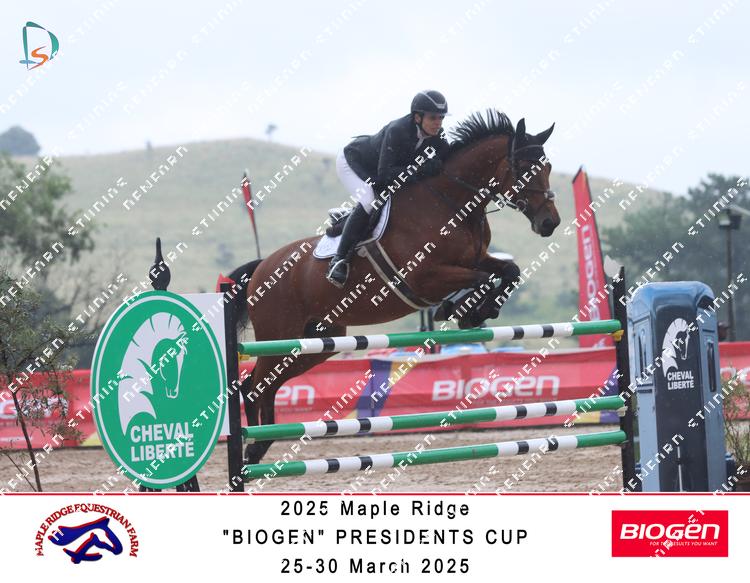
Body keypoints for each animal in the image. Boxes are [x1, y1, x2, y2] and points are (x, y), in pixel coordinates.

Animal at [225, 110, 560, 466]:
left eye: (548, 166)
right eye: (523, 166)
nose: (550, 222)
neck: (452, 202)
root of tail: (262, 267)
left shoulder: (477, 259)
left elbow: (509, 271)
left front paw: (479, 309)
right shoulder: (424, 277)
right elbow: (480, 280)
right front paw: (463, 309)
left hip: (317, 343)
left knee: (268, 386)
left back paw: (259, 446)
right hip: (279, 336)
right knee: (254, 386)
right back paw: (252, 449)